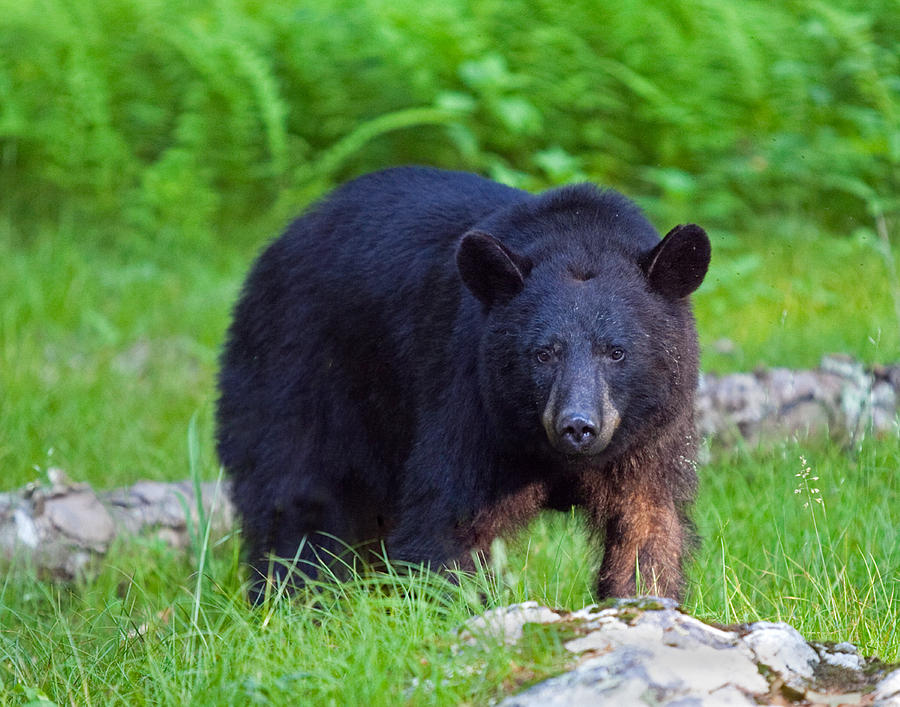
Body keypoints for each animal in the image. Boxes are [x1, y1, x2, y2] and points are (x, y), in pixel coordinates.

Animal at [218, 166, 712, 604]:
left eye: (616, 352)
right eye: (543, 352)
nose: (577, 426)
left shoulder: (651, 437)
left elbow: (647, 528)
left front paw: (645, 599)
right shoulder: (471, 402)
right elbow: (447, 522)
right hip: (297, 371)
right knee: (295, 497)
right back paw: (293, 603)